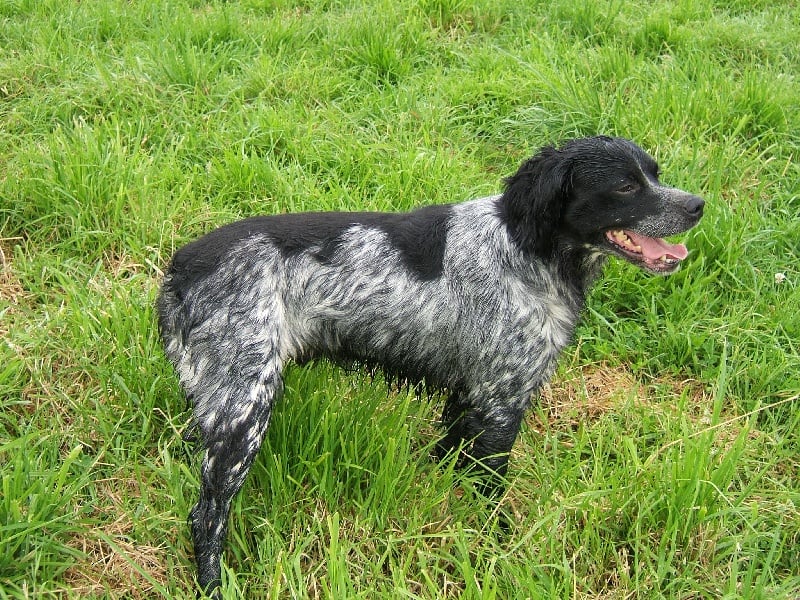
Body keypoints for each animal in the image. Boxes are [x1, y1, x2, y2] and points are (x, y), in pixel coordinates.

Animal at [157, 136, 704, 595]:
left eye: (655, 173)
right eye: (627, 185)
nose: (698, 206)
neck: (527, 250)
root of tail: (181, 268)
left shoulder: (469, 396)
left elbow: (450, 461)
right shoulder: (502, 401)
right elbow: (490, 491)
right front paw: (498, 551)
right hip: (245, 408)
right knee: (206, 515)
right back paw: (213, 584)